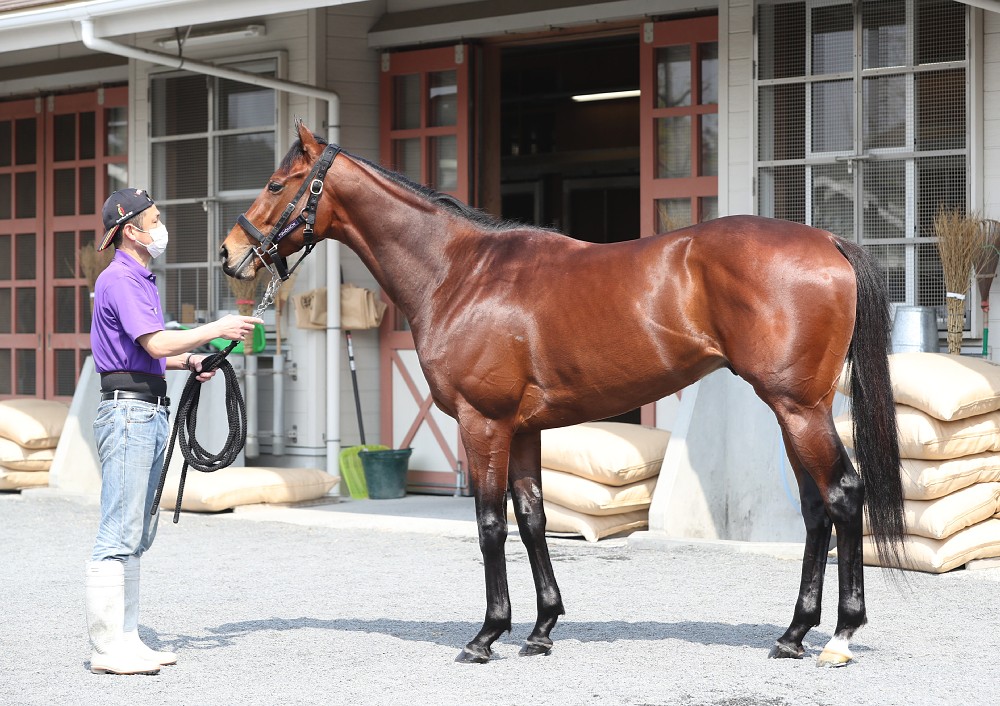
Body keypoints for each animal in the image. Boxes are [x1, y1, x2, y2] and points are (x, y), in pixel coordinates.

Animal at [221, 121, 908, 664]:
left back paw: (840, 635)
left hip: (799, 410)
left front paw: (486, 636)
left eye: (278, 184)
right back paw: (792, 634)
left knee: (843, 496)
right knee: (816, 509)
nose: (231, 254)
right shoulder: (523, 429)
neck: (460, 274)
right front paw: (541, 629)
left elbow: (489, 525)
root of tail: (828, 241)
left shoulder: (483, 423)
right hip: (794, 412)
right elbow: (532, 521)